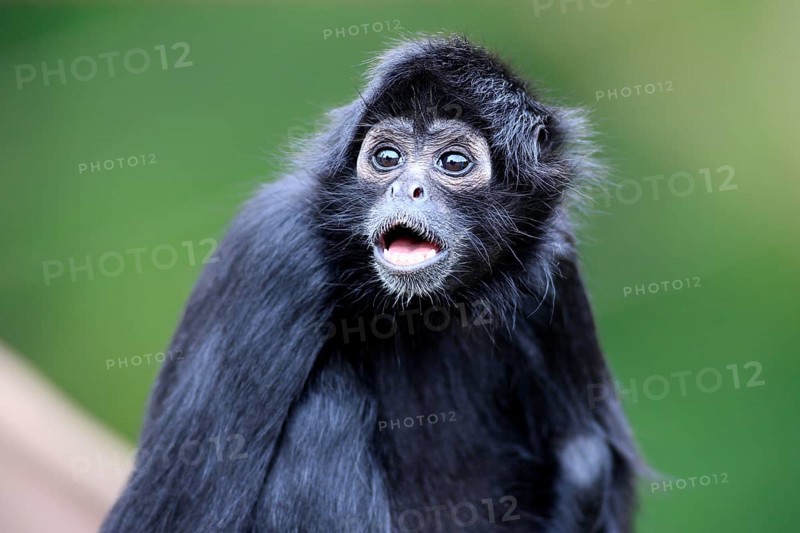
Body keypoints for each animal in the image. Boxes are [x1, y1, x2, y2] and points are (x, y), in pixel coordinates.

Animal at [102, 35, 639, 532]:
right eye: (386, 158)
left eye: (453, 163)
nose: (407, 188)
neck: (416, 310)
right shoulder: (275, 247)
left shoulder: (557, 269)